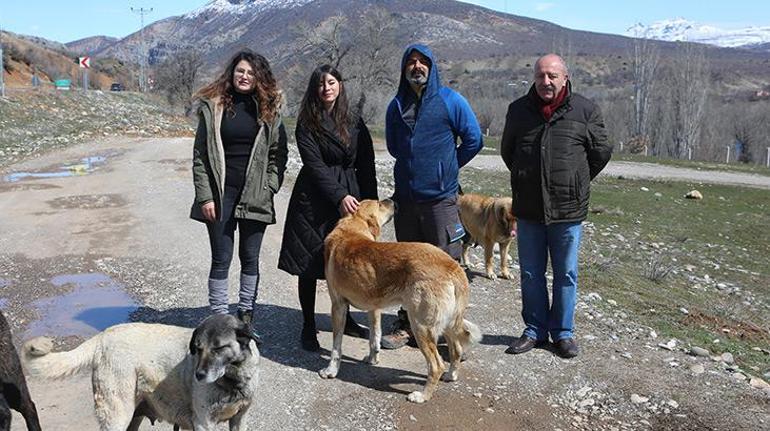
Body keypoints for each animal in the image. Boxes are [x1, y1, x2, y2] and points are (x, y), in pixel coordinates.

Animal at [23, 314, 258, 431]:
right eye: (198, 349)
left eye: (219, 348)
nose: (198, 376)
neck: (232, 380)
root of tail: (104, 336)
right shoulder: (203, 423)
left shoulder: (240, 419)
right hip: (117, 415)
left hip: (133, 416)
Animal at [320, 200, 480, 404]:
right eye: (380, 204)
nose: (392, 201)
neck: (352, 228)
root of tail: (452, 266)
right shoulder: (374, 308)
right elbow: (374, 338)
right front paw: (372, 359)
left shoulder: (338, 306)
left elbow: (336, 346)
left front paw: (331, 371)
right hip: (447, 323)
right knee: (457, 350)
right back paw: (451, 376)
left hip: (421, 326)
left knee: (436, 365)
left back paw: (422, 396)